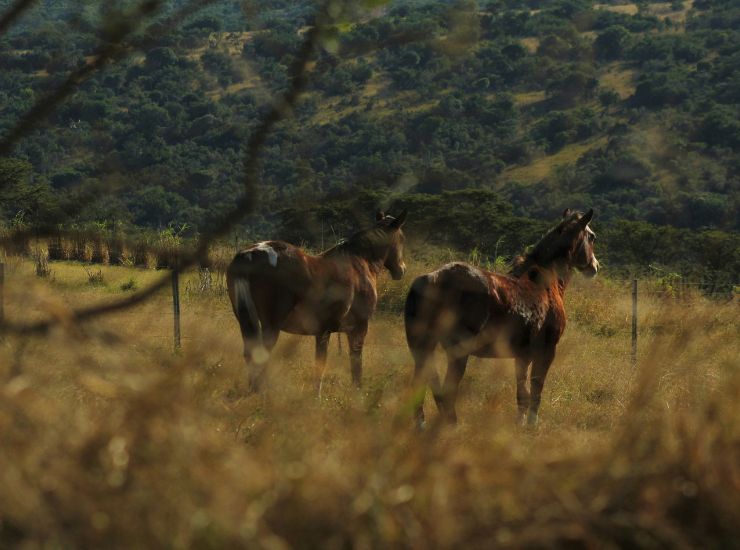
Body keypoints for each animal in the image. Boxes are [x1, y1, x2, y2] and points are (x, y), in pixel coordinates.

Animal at [227, 209, 408, 394]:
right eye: (401, 239)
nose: (402, 270)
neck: (360, 263)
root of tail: (248, 255)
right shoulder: (358, 327)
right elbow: (354, 364)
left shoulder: (322, 332)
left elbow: (320, 363)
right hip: (271, 325)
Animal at [404, 209, 599, 429]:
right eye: (592, 236)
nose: (594, 266)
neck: (546, 283)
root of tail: (433, 278)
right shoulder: (547, 351)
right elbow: (537, 388)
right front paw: (532, 424)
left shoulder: (523, 355)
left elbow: (522, 393)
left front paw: (520, 423)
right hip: (457, 352)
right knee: (447, 390)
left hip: (424, 347)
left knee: (420, 383)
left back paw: (422, 425)